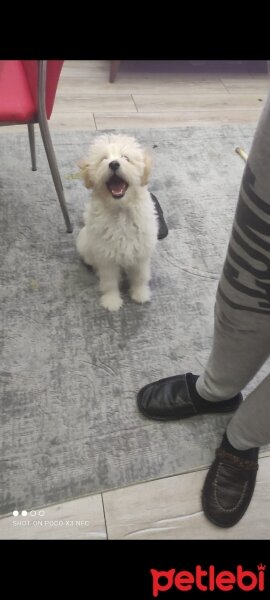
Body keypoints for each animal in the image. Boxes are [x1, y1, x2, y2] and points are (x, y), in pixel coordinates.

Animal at [76, 134, 158, 312]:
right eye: (103, 159)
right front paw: (111, 301)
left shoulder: (141, 253)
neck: (120, 210)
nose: (113, 163)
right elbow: (109, 282)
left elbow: (140, 277)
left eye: (126, 158)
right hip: (86, 246)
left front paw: (140, 294)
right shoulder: (107, 257)